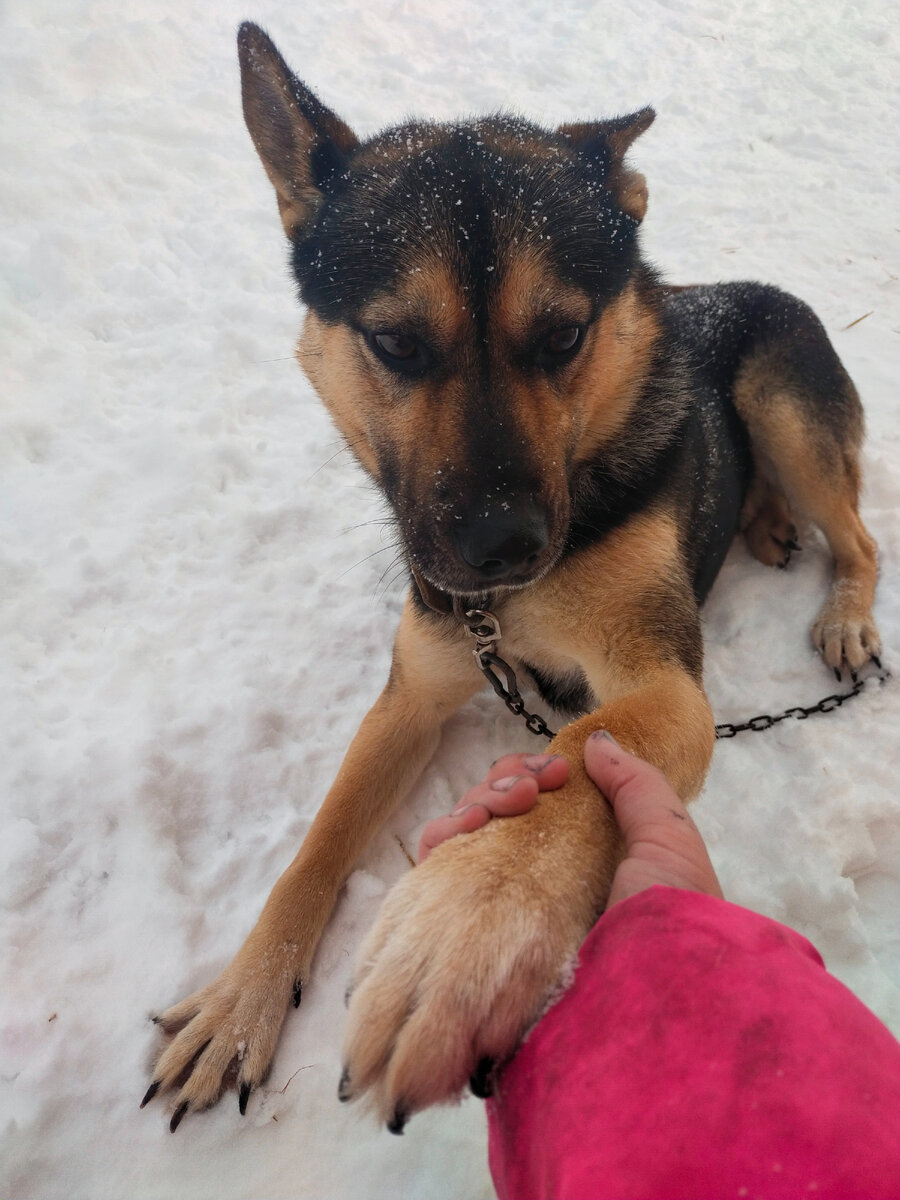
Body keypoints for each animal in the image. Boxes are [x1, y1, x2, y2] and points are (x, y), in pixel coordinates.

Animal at [141, 25, 883, 1132]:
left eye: (565, 336)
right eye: (395, 341)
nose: (505, 548)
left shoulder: (663, 688)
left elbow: (581, 754)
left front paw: (472, 922)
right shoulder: (412, 694)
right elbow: (315, 847)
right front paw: (242, 1001)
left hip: (781, 400)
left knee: (862, 538)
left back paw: (843, 611)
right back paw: (766, 521)